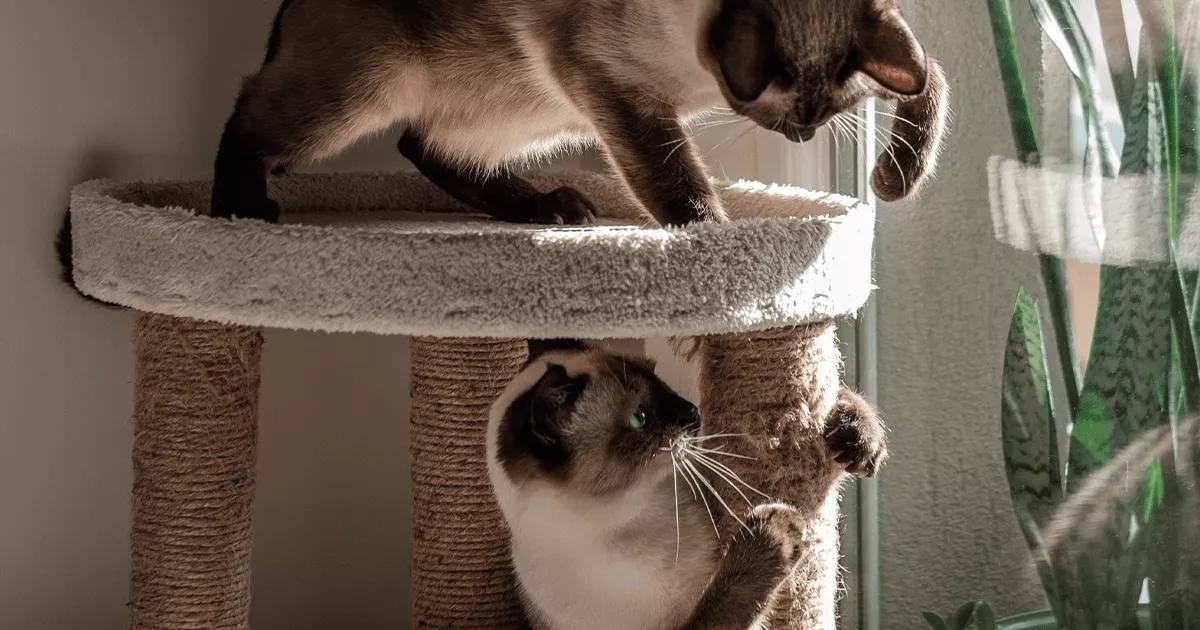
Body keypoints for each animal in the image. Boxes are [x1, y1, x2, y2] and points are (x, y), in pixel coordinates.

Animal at [213, 0, 945, 224]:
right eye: (799, 116)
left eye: (824, 114)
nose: (799, 135)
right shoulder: (612, 87)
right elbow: (676, 182)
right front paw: (717, 244)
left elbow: (928, 80)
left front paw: (890, 181)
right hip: (367, 89)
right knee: (247, 116)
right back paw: (239, 210)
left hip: (518, 109)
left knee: (423, 147)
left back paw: (544, 208)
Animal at [482, 340, 888, 624]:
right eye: (640, 418)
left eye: (661, 383)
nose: (694, 413)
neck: (644, 510)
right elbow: (730, 595)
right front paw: (776, 530)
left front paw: (855, 434)